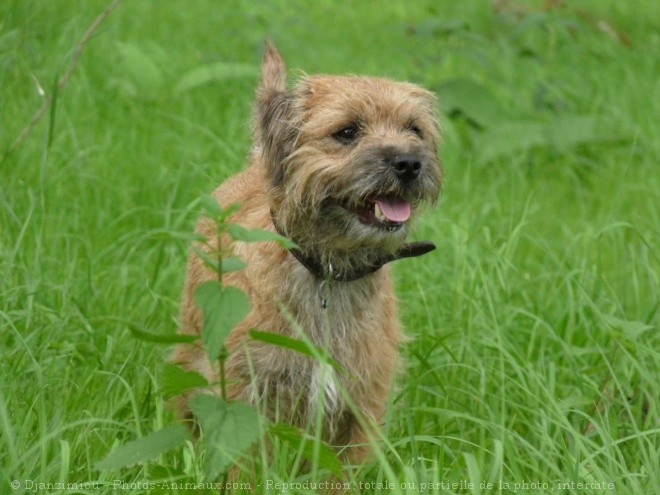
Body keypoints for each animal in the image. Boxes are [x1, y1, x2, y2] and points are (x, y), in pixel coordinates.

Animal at [175, 41, 444, 468]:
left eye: (414, 130)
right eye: (347, 131)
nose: (409, 163)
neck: (328, 273)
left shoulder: (363, 403)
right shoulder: (245, 391)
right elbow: (245, 464)